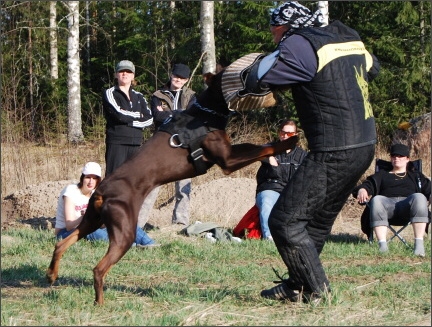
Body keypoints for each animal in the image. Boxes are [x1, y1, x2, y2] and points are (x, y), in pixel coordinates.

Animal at [46, 68, 296, 306]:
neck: (207, 112)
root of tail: (101, 192)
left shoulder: (229, 153)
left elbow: (258, 146)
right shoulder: (227, 160)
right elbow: (263, 148)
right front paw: (289, 141)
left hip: (91, 220)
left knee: (61, 244)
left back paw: (51, 275)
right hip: (124, 230)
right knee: (98, 268)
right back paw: (99, 302)